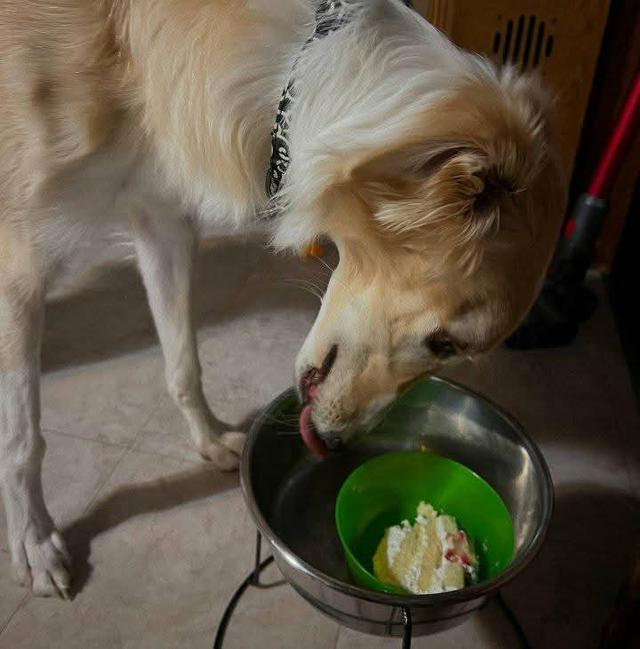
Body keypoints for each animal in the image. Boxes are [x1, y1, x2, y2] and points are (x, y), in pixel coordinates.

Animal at [0, 0, 564, 596]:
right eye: (444, 342)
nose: (335, 446)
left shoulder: (162, 223)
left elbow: (184, 363)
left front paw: (209, 437)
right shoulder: (18, 264)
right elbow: (22, 441)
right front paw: (36, 543)